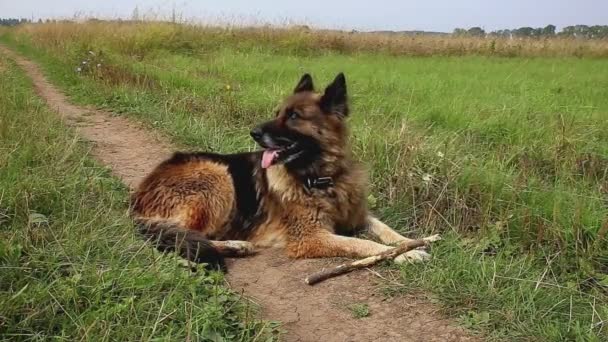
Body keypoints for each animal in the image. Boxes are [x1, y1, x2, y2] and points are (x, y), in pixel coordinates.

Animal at [131, 73, 440, 270]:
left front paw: (410, 243)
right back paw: (230, 247)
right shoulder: (312, 238)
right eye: (278, 112)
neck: (322, 178)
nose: (254, 133)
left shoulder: (358, 216)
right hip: (217, 176)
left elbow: (386, 230)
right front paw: (403, 255)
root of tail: (139, 196)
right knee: (178, 238)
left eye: (293, 117)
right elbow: (362, 244)